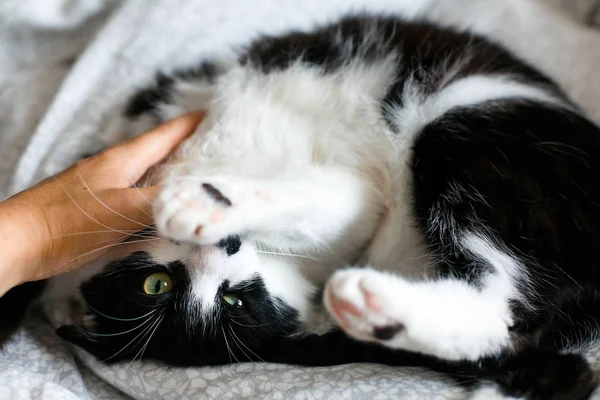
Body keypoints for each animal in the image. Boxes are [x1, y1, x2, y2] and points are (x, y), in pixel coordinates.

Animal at [39, 13, 600, 400]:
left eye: (233, 300)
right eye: (156, 286)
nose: (223, 247)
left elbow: (326, 201)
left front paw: (202, 198)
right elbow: (331, 201)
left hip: (468, 125)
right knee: (511, 324)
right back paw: (376, 308)